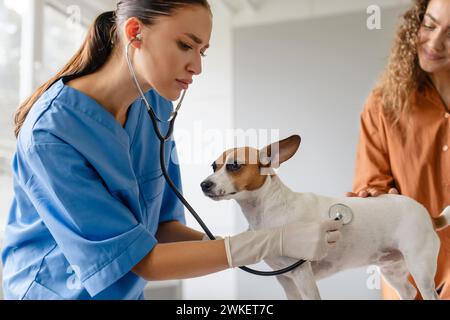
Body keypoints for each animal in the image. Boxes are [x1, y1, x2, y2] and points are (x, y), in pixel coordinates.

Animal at [201, 135, 450, 300]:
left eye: (234, 165)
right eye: (213, 166)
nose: (204, 184)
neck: (269, 211)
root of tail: (426, 213)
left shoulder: (302, 275)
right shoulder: (286, 280)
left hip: (421, 268)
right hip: (393, 271)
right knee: (408, 291)